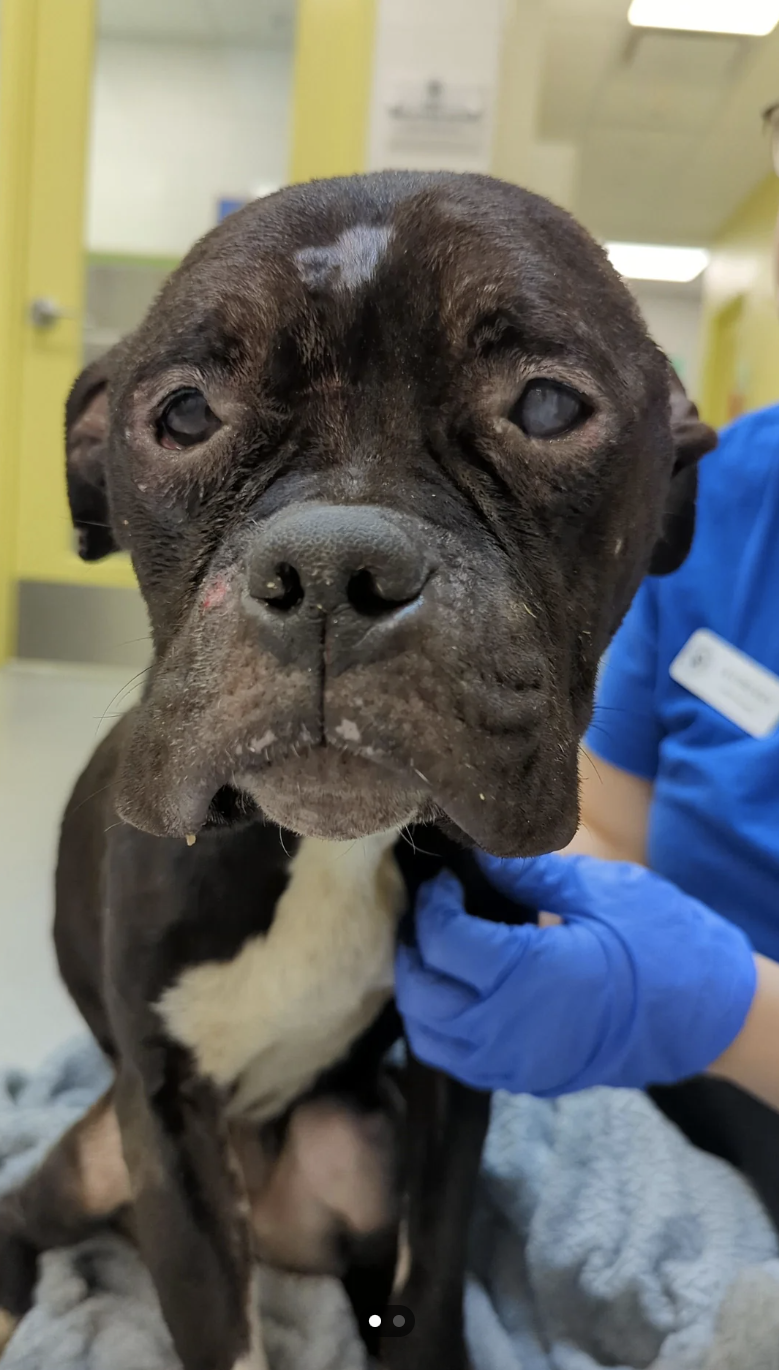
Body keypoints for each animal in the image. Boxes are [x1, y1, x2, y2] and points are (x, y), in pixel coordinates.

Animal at [0, 173, 717, 1370]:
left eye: (545, 408)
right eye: (184, 415)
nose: (333, 569)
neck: (328, 852)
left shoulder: (452, 1076)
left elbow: (433, 1277)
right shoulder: (166, 1122)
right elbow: (219, 1328)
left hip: (360, 1138)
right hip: (96, 1155)